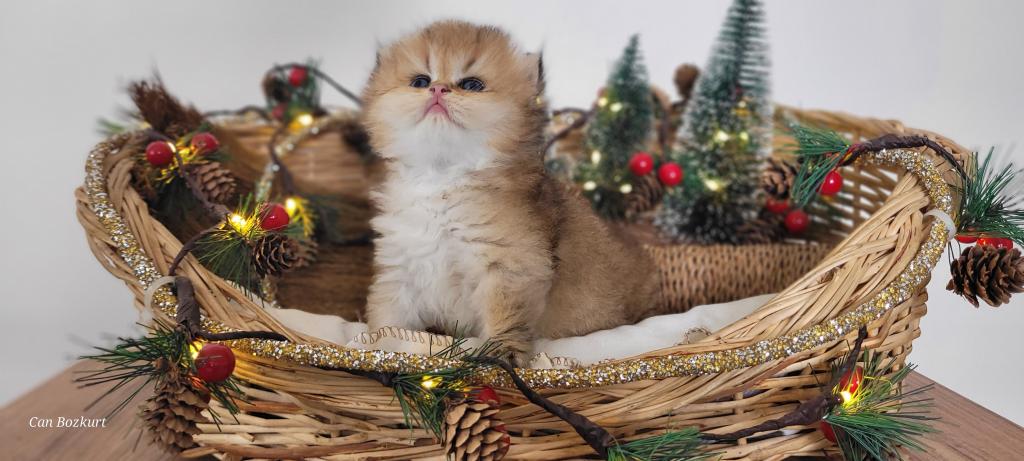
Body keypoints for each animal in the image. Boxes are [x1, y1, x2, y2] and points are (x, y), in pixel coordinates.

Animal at [361, 20, 658, 364]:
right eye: (420, 81)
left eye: (472, 84)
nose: (437, 89)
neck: (443, 179)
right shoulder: (401, 268)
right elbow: (387, 317)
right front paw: (376, 345)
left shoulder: (510, 266)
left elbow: (507, 317)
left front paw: (502, 354)